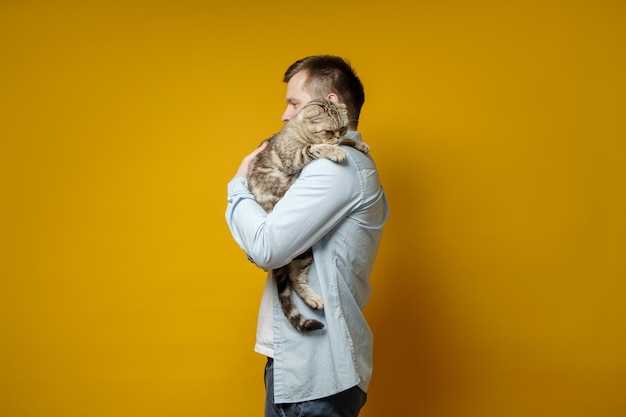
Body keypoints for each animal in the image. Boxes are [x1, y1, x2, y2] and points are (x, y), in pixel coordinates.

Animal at [246, 98, 368, 332]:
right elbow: (315, 148)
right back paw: (313, 299)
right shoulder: (294, 155)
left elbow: (346, 141)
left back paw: (312, 299)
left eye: (342, 128)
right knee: (293, 278)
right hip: (302, 249)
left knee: (295, 277)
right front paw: (335, 150)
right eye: (329, 131)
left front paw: (357, 144)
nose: (336, 136)